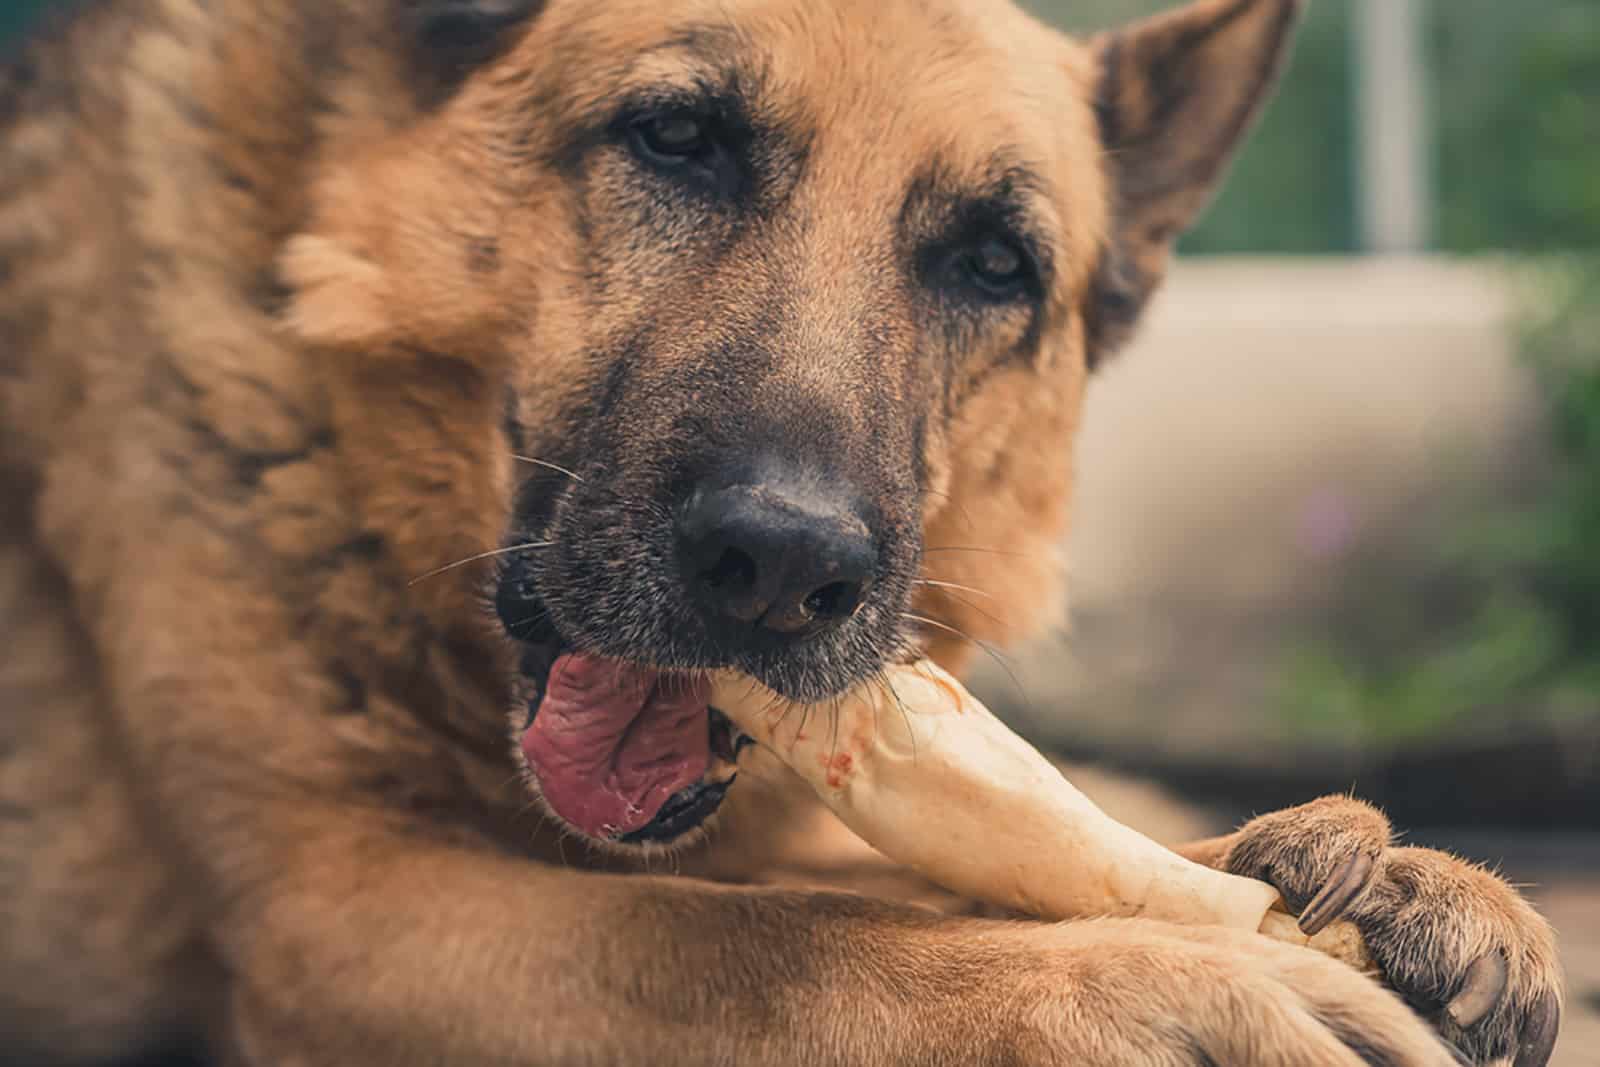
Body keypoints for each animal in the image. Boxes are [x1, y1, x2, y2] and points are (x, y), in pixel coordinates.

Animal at [0, 0, 1561, 1062]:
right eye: (678, 139)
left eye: (993, 261)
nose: (783, 567)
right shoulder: (334, 912)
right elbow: (756, 934)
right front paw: (1158, 981)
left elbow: (939, 863)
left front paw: (1349, 888)